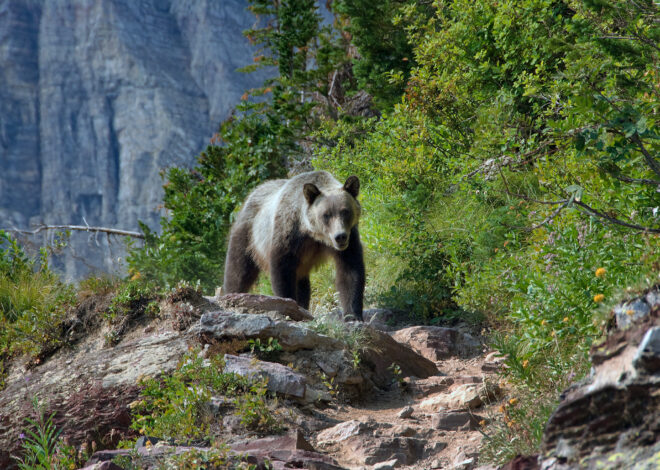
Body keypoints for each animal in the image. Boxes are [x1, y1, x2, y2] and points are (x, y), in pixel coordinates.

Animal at [223, 171, 365, 321]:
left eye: (345, 211)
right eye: (326, 214)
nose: (340, 236)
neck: (312, 233)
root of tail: (251, 194)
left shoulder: (349, 240)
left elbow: (350, 271)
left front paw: (353, 315)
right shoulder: (288, 235)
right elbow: (282, 271)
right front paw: (286, 305)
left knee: (302, 284)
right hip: (249, 235)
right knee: (238, 269)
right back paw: (232, 294)